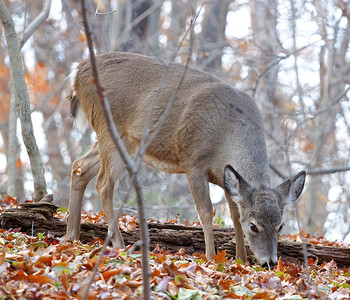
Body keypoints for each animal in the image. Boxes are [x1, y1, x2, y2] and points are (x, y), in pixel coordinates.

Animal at [65, 51, 306, 270]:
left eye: (281, 226)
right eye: (254, 226)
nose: (269, 263)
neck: (225, 136)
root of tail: (77, 72)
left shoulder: (225, 177)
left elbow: (235, 216)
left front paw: (241, 261)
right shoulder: (194, 162)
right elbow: (206, 211)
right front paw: (210, 258)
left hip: (126, 141)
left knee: (79, 167)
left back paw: (72, 236)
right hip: (109, 127)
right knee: (103, 183)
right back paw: (119, 244)